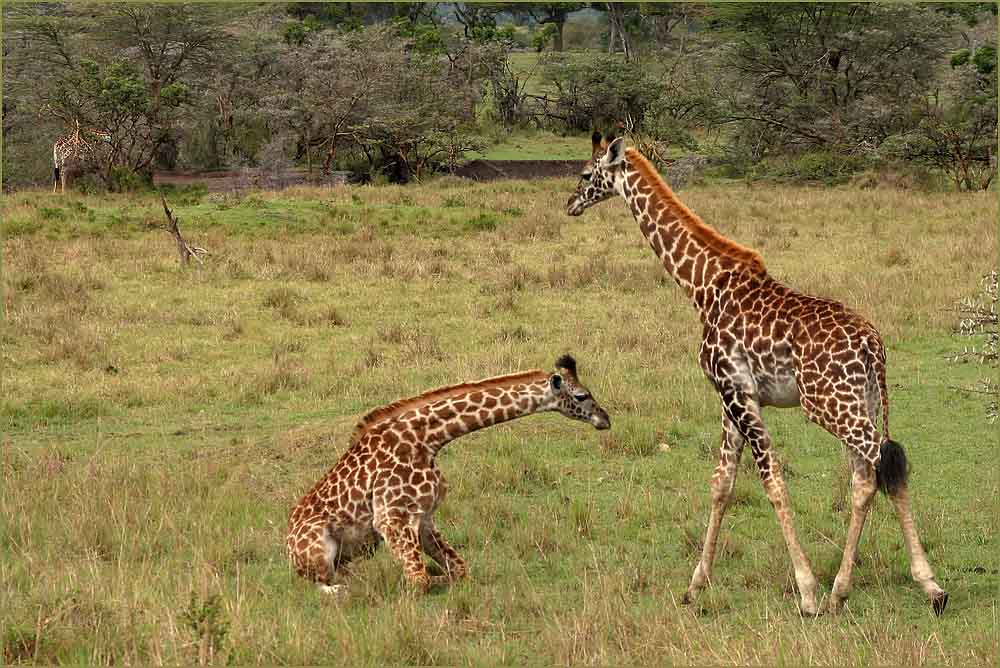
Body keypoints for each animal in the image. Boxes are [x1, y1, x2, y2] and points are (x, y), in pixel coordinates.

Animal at [284, 358, 608, 592]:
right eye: (582, 395)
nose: (605, 418)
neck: (428, 439)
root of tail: (287, 547)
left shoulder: (424, 516)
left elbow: (459, 570)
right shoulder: (391, 518)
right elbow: (420, 580)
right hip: (320, 549)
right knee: (324, 585)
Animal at [568, 134, 948, 616]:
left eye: (585, 173)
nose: (570, 204)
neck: (703, 287)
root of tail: (873, 346)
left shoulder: (736, 391)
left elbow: (772, 482)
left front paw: (806, 591)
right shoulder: (731, 396)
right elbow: (722, 484)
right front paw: (695, 585)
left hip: (827, 404)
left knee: (881, 463)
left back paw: (922, 586)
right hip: (864, 399)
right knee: (868, 473)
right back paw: (844, 588)